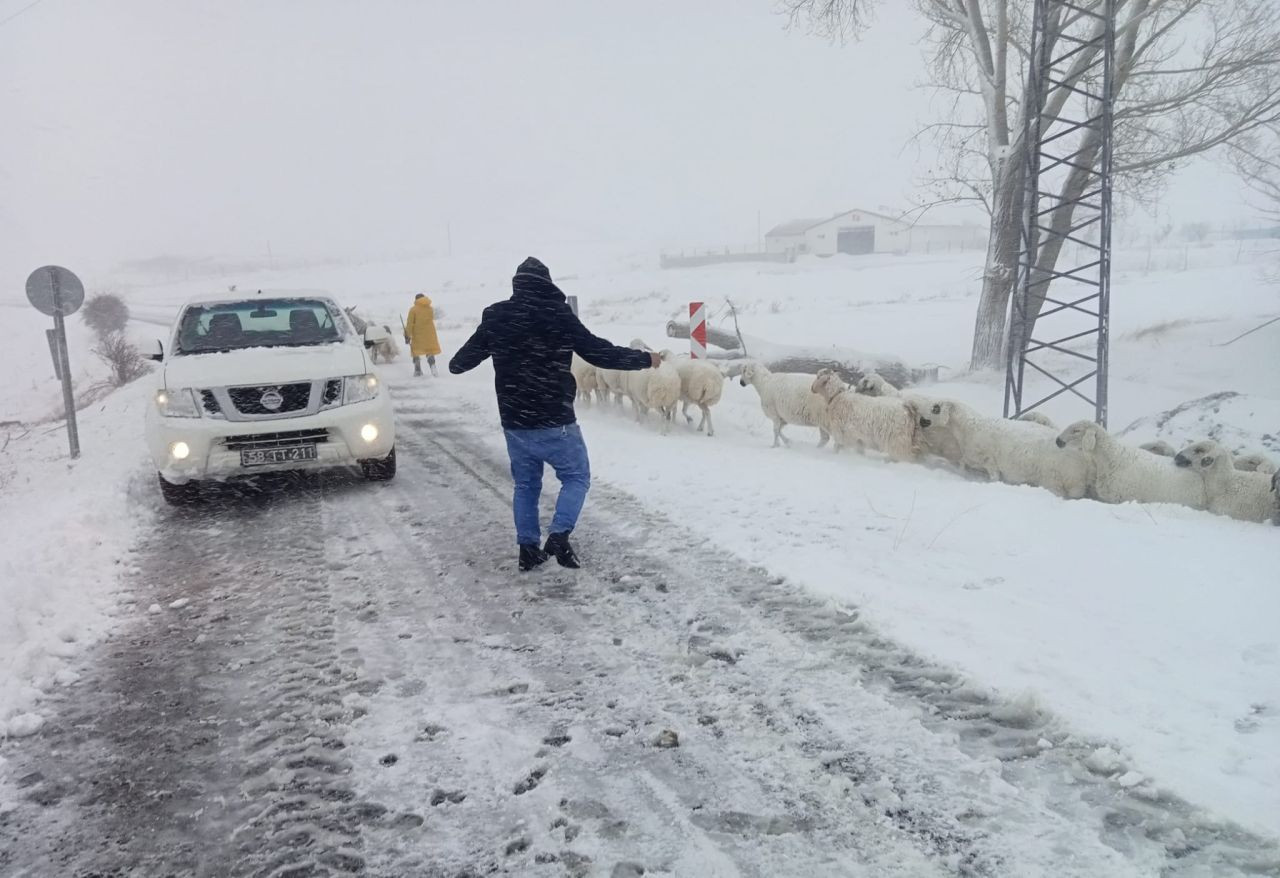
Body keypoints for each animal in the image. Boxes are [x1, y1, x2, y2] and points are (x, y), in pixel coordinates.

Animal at [916, 401, 1095, 499]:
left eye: (936, 408)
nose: (920, 420)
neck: (970, 427)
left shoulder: (989, 461)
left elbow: (994, 477)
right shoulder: (973, 460)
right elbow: (963, 465)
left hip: (1055, 482)